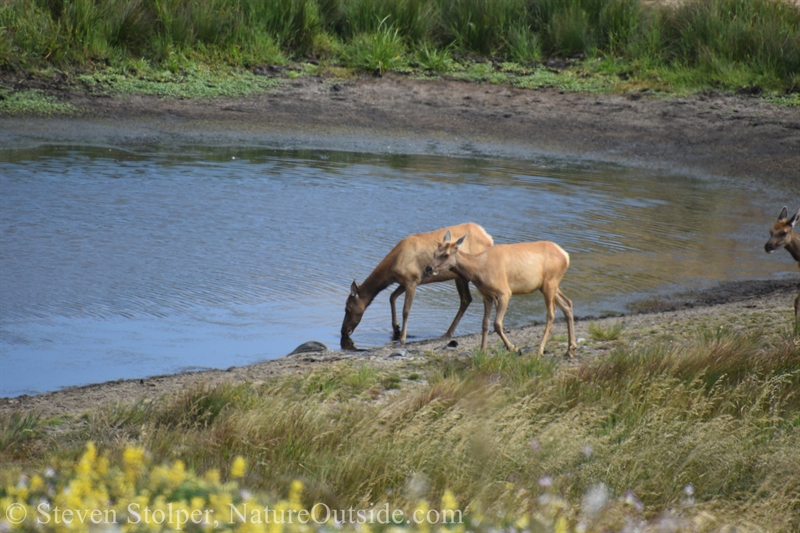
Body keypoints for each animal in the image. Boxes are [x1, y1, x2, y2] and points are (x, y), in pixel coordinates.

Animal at [342, 221, 494, 344]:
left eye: (347, 308)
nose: (343, 331)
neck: (392, 269)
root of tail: (490, 238)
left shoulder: (412, 280)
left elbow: (406, 310)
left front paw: (402, 338)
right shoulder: (405, 281)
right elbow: (392, 297)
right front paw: (396, 328)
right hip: (459, 277)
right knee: (466, 299)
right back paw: (448, 333)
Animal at [424, 230, 576, 358]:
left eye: (446, 255)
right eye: (435, 253)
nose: (428, 268)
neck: (478, 271)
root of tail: (566, 256)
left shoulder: (504, 292)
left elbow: (497, 324)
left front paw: (513, 347)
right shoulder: (486, 296)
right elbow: (484, 324)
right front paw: (482, 350)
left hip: (550, 283)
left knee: (551, 313)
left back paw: (540, 350)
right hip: (547, 285)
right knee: (568, 303)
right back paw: (570, 349)